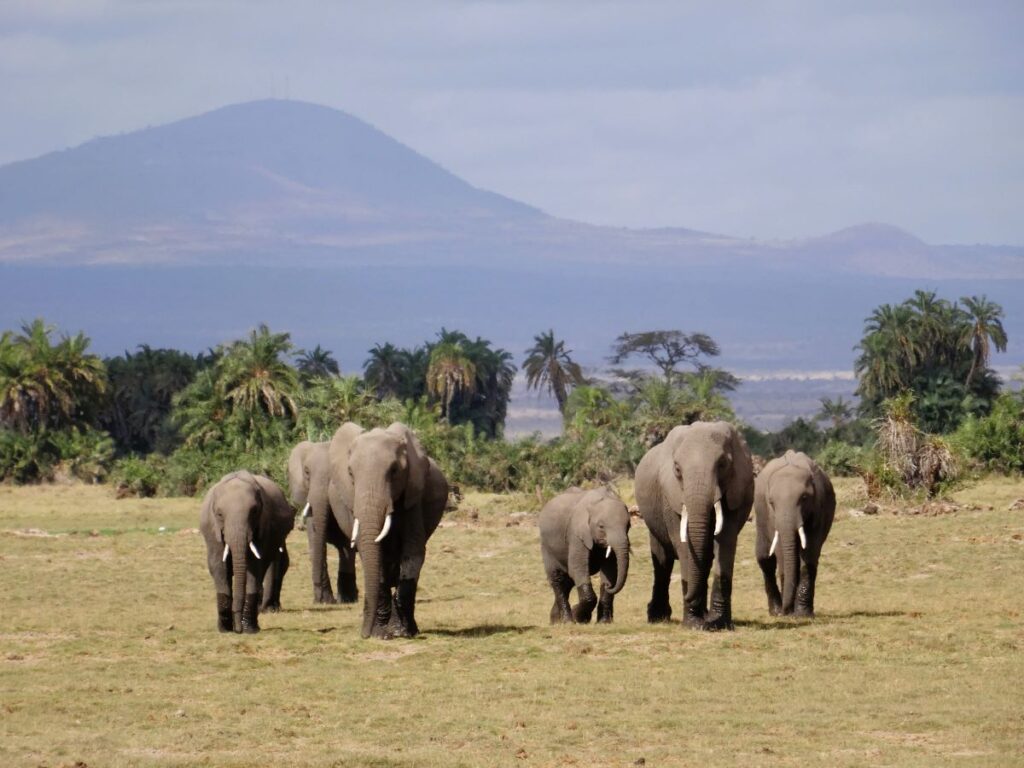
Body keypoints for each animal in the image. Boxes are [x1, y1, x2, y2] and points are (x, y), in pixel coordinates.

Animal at [198, 471, 294, 633]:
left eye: (254, 511)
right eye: (219, 514)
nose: (238, 630)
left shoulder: (264, 526)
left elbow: (255, 567)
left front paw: (249, 629)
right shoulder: (211, 529)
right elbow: (218, 566)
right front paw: (225, 629)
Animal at [328, 421, 449, 639]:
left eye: (394, 471)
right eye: (350, 473)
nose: (364, 634)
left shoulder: (412, 497)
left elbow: (413, 553)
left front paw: (405, 632)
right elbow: (377, 559)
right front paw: (381, 634)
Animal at [538, 487, 631, 624]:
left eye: (628, 525)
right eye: (601, 526)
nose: (609, 586)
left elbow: (611, 571)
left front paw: (603, 622)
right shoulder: (576, 534)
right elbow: (578, 568)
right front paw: (579, 617)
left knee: (567, 582)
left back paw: (555, 621)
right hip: (547, 547)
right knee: (558, 579)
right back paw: (567, 621)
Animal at [635, 420, 754, 630]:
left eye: (722, 464)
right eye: (677, 469)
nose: (689, 598)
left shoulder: (737, 490)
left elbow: (725, 541)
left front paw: (719, 624)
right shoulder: (670, 496)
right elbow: (683, 545)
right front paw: (694, 625)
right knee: (662, 562)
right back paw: (658, 617)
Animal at [754, 450, 835, 617]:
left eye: (804, 498)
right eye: (771, 502)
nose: (786, 611)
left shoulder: (819, 506)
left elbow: (810, 552)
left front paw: (803, 614)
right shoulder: (772, 517)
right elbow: (780, 553)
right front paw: (788, 613)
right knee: (765, 559)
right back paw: (776, 611)